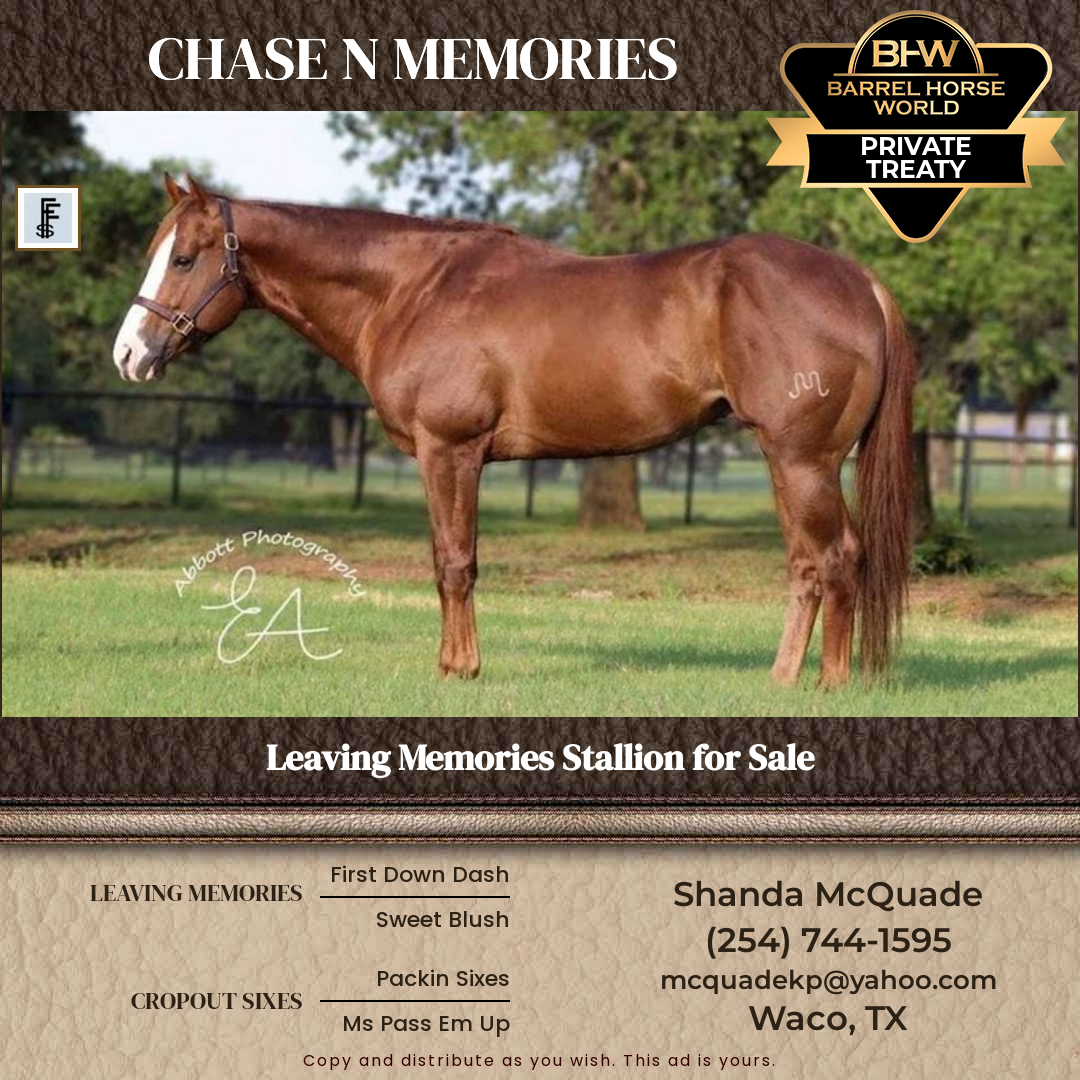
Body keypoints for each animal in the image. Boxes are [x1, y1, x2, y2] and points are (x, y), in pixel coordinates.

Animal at [113, 175, 914, 687]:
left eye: (184, 257)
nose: (129, 353)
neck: (409, 290)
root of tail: (859, 280)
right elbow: (448, 562)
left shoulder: (450, 452)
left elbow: (454, 565)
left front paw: (458, 670)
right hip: (786, 461)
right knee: (806, 566)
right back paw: (780, 678)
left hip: (804, 460)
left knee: (837, 558)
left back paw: (828, 685)